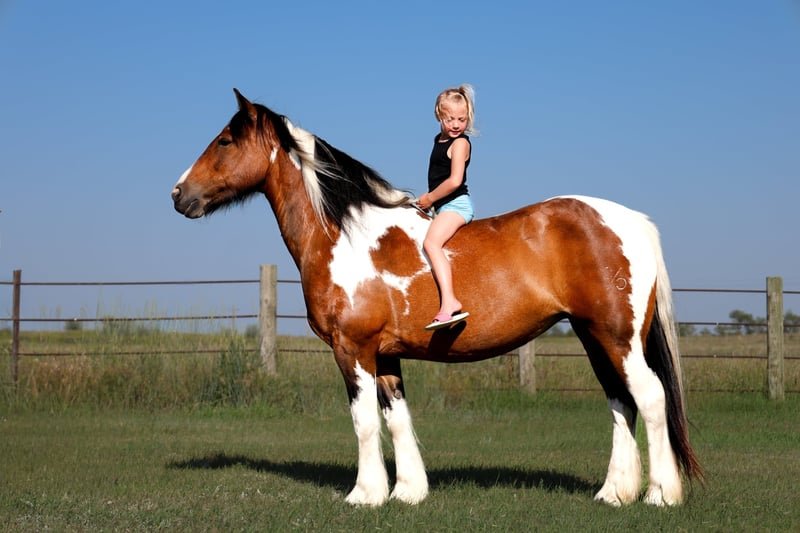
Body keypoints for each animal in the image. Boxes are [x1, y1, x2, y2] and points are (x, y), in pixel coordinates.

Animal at [171, 89, 702, 507]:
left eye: (224, 141)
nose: (178, 194)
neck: (343, 234)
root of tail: (631, 221)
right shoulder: (385, 356)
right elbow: (397, 420)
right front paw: (407, 492)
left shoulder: (353, 350)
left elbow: (364, 422)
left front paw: (364, 495)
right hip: (596, 338)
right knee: (621, 402)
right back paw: (613, 493)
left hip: (618, 338)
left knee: (650, 398)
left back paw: (660, 495)